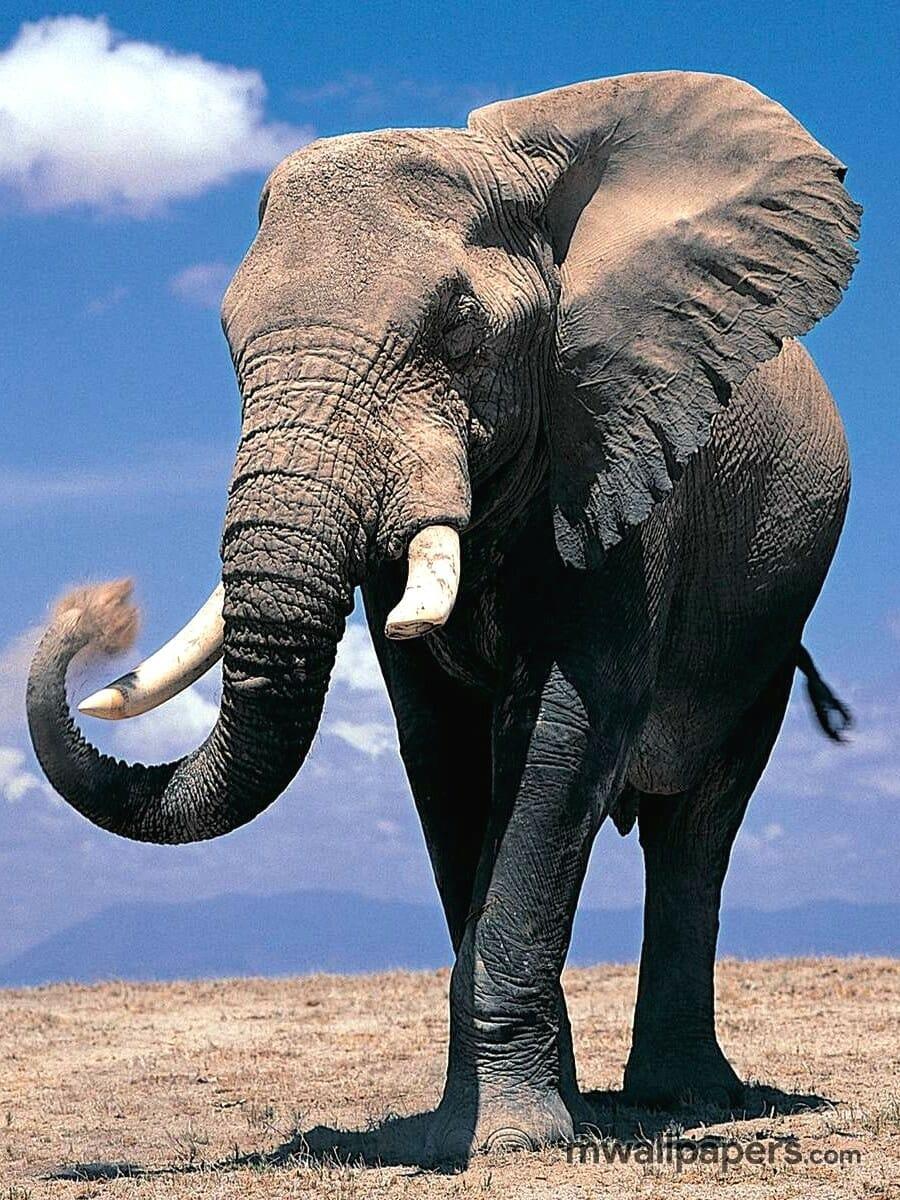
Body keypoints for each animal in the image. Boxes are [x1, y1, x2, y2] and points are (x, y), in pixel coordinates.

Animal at [26, 71, 859, 1162]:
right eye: (229, 342)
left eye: (460, 334)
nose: (102, 607)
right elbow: (443, 753)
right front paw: (473, 1131)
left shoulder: (623, 454)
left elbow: (562, 732)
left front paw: (512, 1142)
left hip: (765, 617)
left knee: (697, 824)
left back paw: (685, 1099)